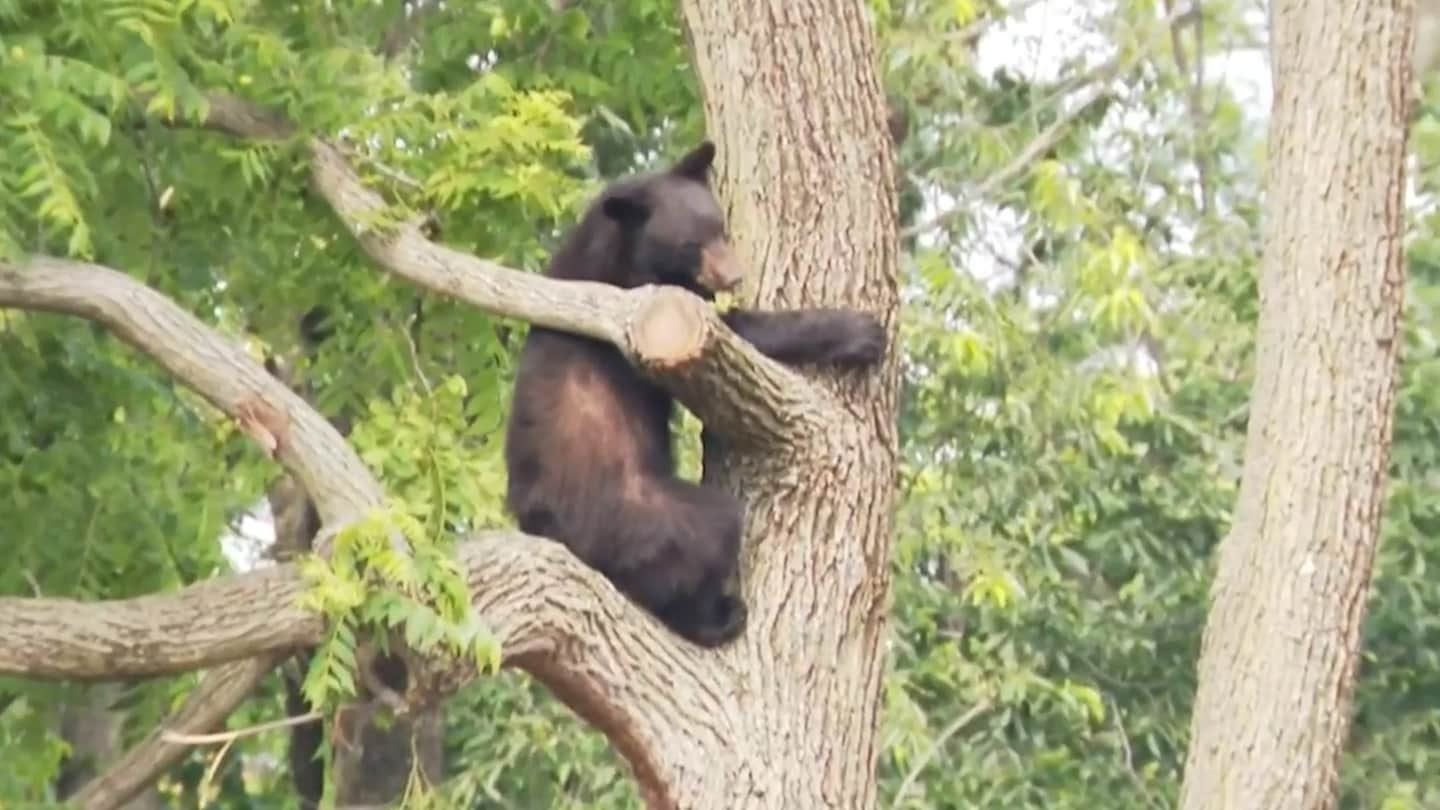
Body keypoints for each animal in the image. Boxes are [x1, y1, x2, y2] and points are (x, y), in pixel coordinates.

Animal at [503, 141, 886, 647]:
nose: (734, 276)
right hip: (642, 514)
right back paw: (718, 616)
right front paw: (860, 332)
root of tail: (545, 528)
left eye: (720, 227)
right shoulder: (639, 302)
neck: (619, 246)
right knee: (705, 539)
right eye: (691, 244)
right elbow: (742, 331)